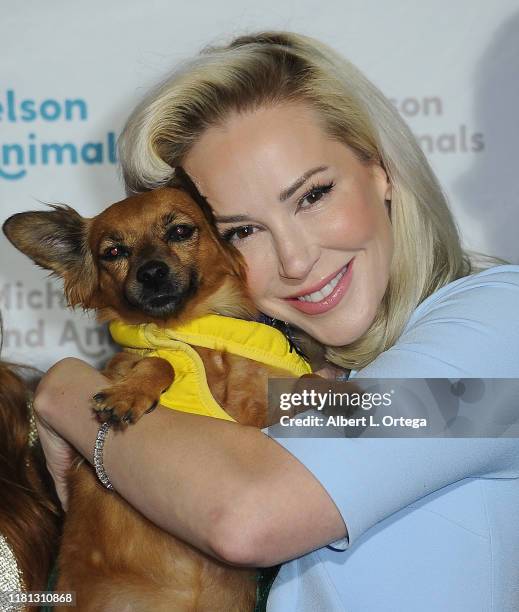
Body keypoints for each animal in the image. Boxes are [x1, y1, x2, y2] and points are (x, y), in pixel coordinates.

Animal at [2, 186, 320, 612]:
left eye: (181, 231)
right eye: (113, 252)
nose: (151, 272)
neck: (198, 336)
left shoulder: (259, 406)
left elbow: (301, 382)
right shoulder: (127, 367)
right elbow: (161, 362)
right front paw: (130, 393)